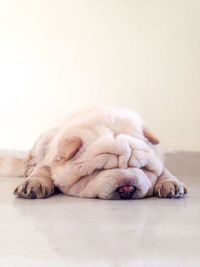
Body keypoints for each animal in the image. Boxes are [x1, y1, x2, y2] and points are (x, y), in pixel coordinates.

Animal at [0, 108, 188, 200]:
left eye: (142, 167)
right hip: (43, 139)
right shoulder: (50, 159)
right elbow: (43, 170)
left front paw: (171, 184)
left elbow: (164, 171)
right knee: (30, 162)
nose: (127, 188)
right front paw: (33, 184)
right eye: (99, 170)